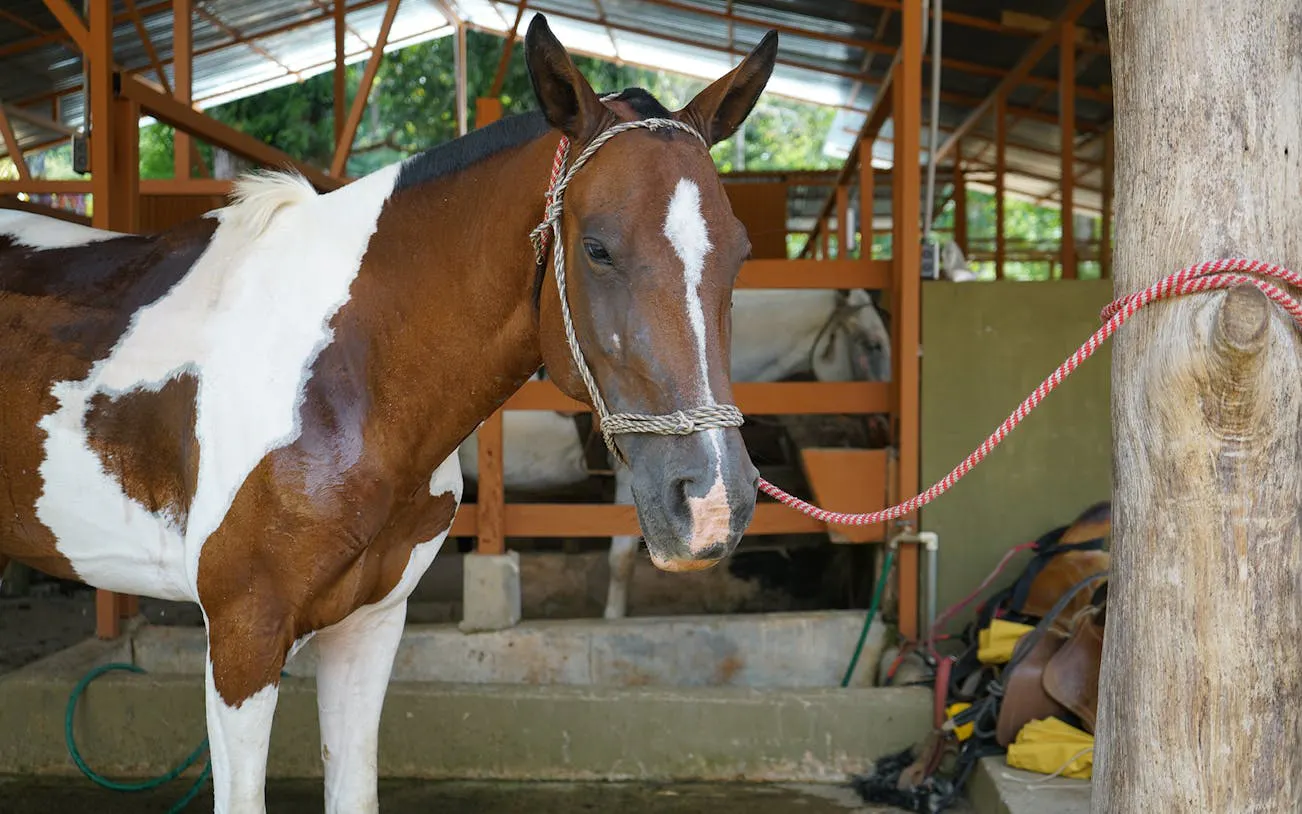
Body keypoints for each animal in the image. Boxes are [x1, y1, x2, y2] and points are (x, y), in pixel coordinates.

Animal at [0, 16, 779, 813]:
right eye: (597, 248)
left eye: (740, 254)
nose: (713, 503)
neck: (341, 376)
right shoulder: (244, 635)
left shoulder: (370, 626)